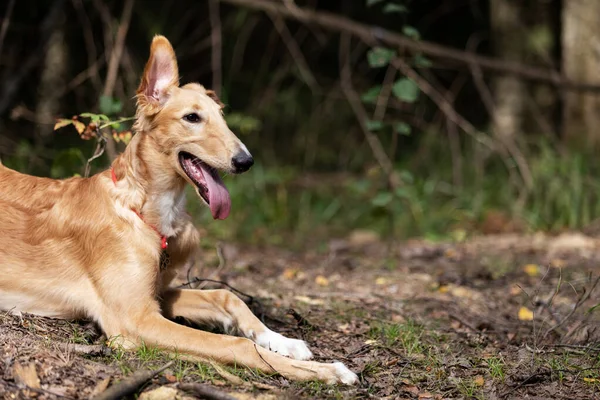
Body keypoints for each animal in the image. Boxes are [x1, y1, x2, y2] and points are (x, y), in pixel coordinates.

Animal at [0, 36, 356, 386]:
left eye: (222, 117)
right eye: (192, 118)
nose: (246, 161)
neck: (141, 210)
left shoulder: (158, 296)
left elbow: (227, 296)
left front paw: (284, 341)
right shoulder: (134, 320)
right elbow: (237, 344)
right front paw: (328, 371)